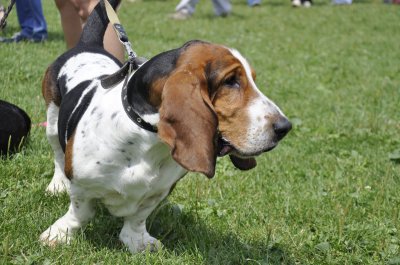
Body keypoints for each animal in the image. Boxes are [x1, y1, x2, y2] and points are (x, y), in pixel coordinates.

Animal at [39, 0, 290, 252]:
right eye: (230, 81)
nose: (284, 127)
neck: (145, 139)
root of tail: (87, 45)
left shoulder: (159, 190)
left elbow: (138, 218)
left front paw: (137, 242)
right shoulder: (83, 186)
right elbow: (80, 213)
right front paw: (59, 234)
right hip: (51, 123)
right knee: (57, 155)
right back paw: (57, 185)